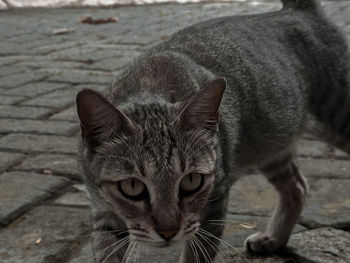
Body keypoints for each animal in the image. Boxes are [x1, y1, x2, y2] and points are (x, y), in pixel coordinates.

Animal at [76, 0, 350, 262]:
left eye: (191, 181)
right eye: (132, 186)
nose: (168, 231)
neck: (149, 85)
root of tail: (300, 11)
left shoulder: (213, 207)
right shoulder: (104, 214)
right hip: (272, 145)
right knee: (297, 187)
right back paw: (273, 238)